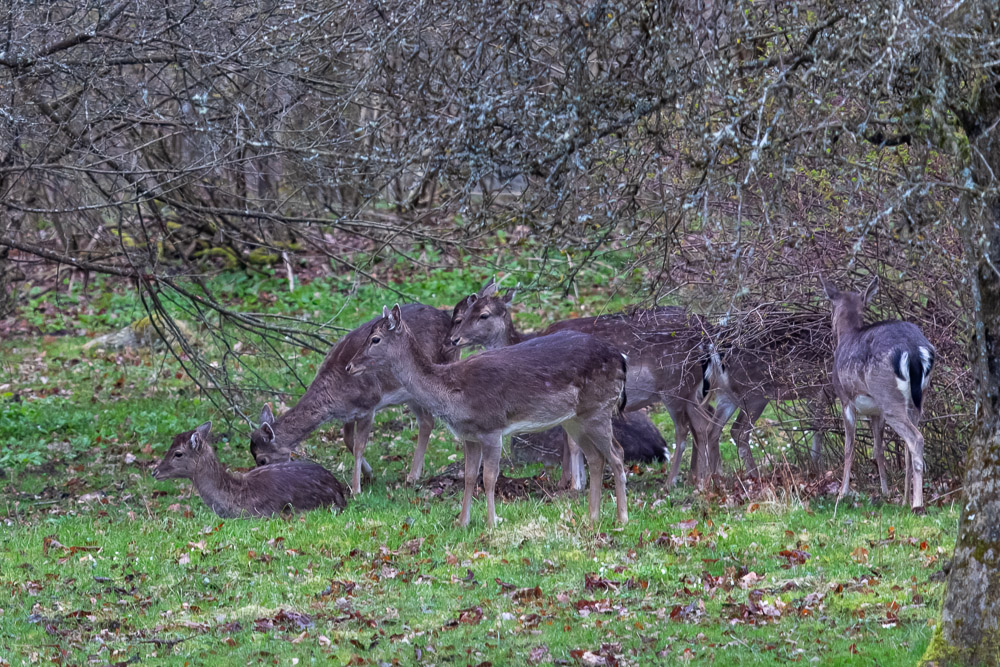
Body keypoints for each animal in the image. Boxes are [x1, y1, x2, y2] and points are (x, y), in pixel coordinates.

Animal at [250, 302, 458, 496]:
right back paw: (415, 474)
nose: (264, 477)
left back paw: (414, 475)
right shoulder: (349, 414)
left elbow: (358, 445)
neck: (336, 397)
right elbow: (348, 440)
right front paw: (369, 474)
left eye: (263, 459)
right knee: (427, 421)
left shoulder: (369, 406)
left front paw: (356, 489)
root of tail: (446, 316)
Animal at [348, 306, 628, 528]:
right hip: (575, 419)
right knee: (596, 458)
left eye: (375, 339)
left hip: (599, 408)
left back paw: (621, 518)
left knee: (617, 453)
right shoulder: (469, 435)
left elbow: (489, 477)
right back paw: (593, 517)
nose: (349, 366)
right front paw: (463, 521)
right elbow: (470, 477)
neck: (453, 393)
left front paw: (492, 522)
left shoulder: (492, 428)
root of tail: (621, 357)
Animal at [450, 280, 716, 488]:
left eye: (482, 314)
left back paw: (683, 482)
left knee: (691, 426)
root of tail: (706, 335)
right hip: (694, 386)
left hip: (677, 382)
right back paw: (700, 477)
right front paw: (568, 482)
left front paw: (575, 485)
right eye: (467, 312)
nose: (454, 339)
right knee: (706, 418)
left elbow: (570, 442)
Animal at [824, 276, 932, 512]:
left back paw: (917, 504)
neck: (846, 335)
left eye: (831, 307)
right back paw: (905, 500)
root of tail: (913, 350)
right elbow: (878, 448)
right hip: (915, 399)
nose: (830, 325)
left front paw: (842, 493)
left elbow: (849, 447)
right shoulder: (876, 411)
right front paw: (885, 491)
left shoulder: (845, 399)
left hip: (887, 394)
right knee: (909, 445)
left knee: (916, 439)